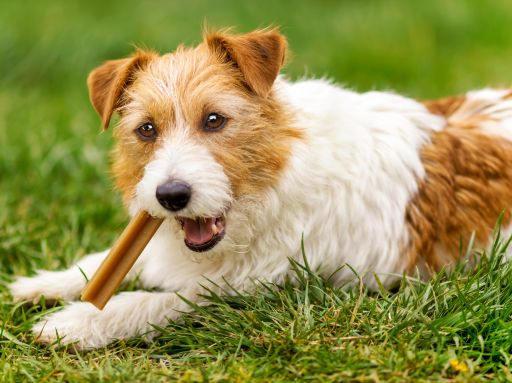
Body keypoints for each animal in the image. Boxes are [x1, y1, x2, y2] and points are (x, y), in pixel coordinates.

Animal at [9, 27, 512, 352]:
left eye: (215, 119)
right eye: (146, 129)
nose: (171, 196)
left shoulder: (269, 296)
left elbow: (163, 301)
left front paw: (79, 321)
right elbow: (105, 264)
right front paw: (43, 283)